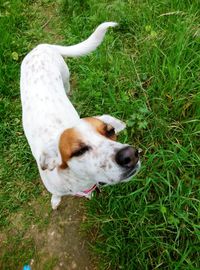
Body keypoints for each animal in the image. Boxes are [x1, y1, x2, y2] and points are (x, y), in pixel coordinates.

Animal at [20, 22, 141, 210]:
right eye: (79, 151)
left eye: (110, 131)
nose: (130, 154)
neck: (77, 182)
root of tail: (41, 46)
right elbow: (56, 194)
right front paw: (56, 200)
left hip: (64, 76)